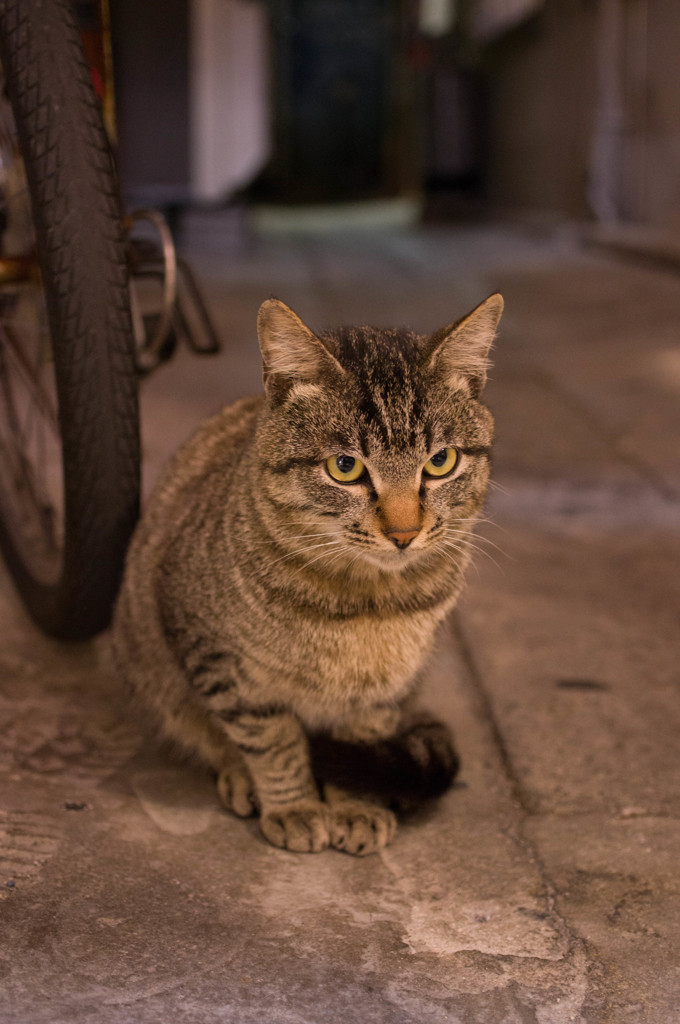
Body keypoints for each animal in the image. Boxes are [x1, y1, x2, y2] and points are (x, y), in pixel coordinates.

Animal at [112, 294, 503, 856]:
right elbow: (270, 739)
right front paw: (293, 804)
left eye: (441, 461)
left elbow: (360, 737)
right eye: (345, 467)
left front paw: (355, 806)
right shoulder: (213, 652)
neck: (365, 602)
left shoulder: (385, 690)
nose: (405, 533)